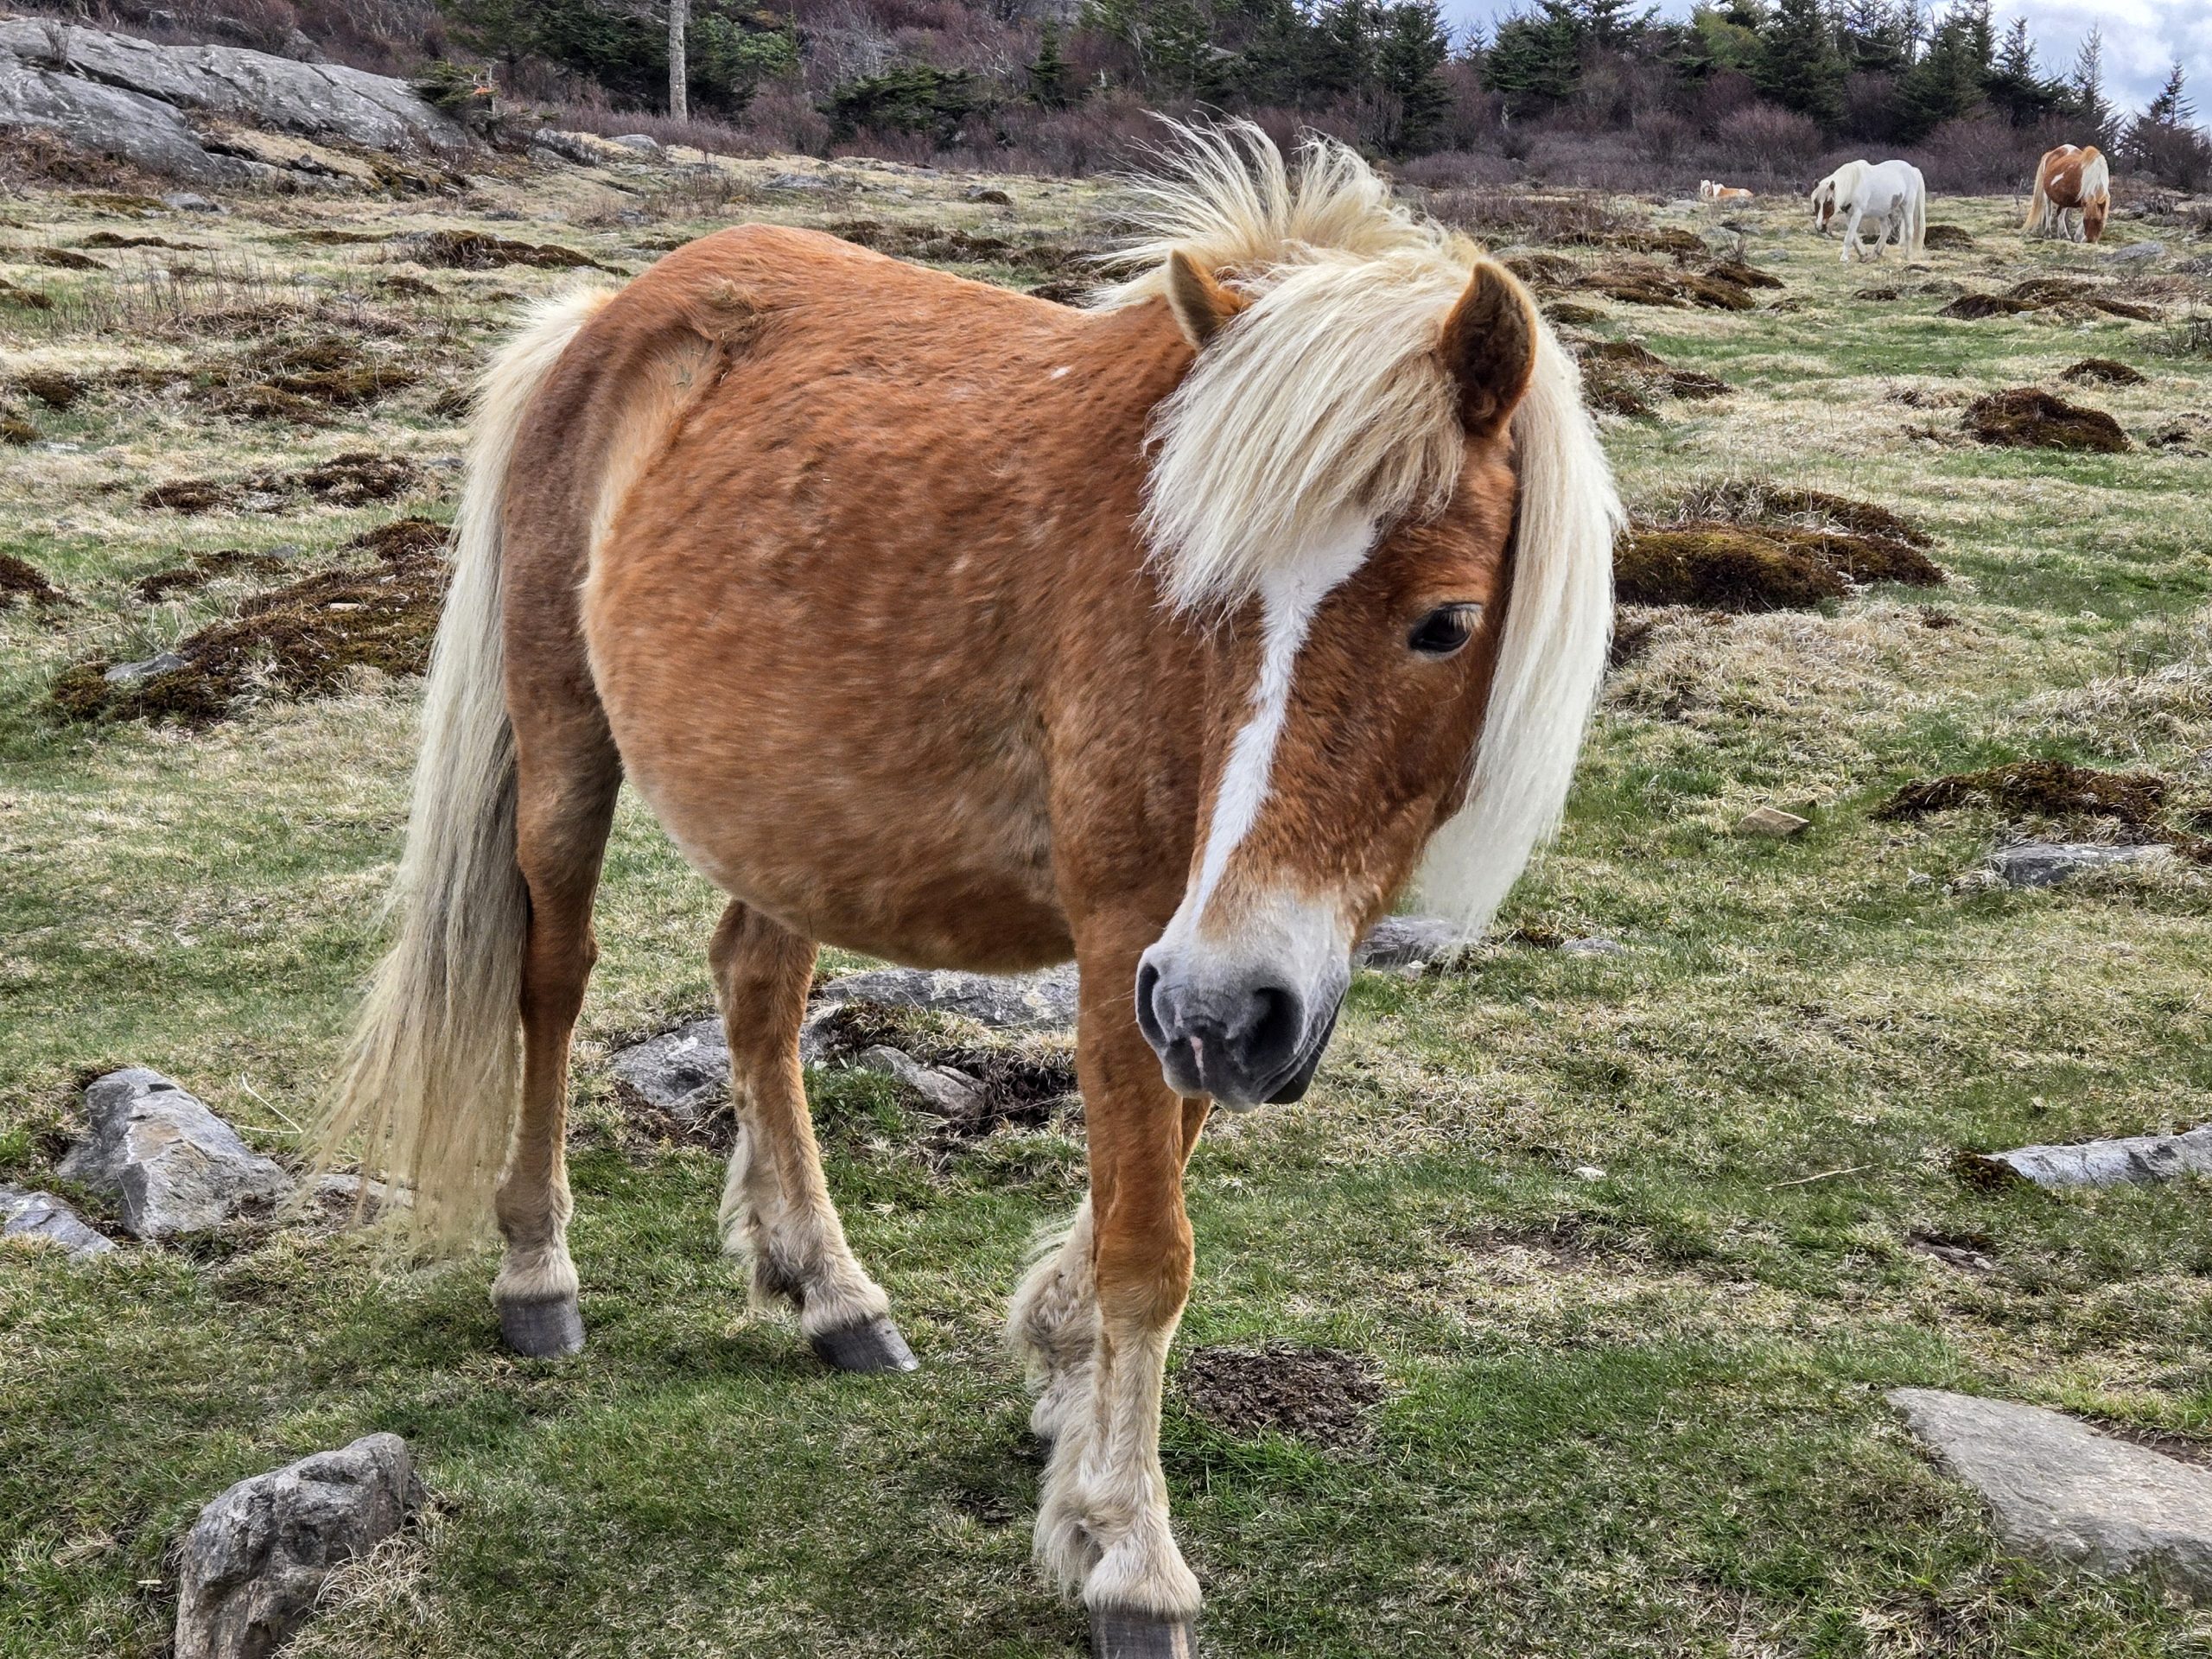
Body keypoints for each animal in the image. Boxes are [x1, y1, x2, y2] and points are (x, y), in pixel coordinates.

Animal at [314, 121, 1619, 1656]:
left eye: (1449, 624)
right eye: (1199, 597)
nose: (1229, 1006)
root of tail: (605, 317)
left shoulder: (1216, 970)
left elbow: (1153, 1183)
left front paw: (1059, 1375)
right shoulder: (1142, 944)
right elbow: (1151, 1246)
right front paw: (1129, 1551)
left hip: (798, 824)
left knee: (757, 997)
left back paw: (828, 1293)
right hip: (567, 747)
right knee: (554, 979)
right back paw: (539, 1276)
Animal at [1810, 157, 1926, 262]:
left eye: (1829, 202)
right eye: (1815, 201)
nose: (1819, 226)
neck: (1853, 185)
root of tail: (1913, 169)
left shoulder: (1857, 213)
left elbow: (1849, 236)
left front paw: (1844, 258)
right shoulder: (1849, 215)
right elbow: (1853, 237)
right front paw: (1863, 254)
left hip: (1907, 207)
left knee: (1909, 231)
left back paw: (1908, 256)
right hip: (1882, 212)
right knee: (1886, 229)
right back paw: (1876, 253)